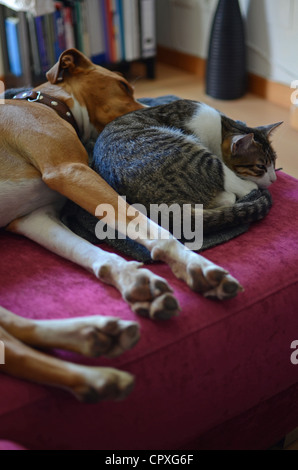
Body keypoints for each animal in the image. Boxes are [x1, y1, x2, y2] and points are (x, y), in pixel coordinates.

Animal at [0, 49, 241, 402]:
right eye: (124, 85)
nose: (155, 116)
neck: (46, 103)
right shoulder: (70, 171)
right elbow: (155, 231)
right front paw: (197, 266)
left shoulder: (34, 216)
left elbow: (94, 255)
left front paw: (135, 280)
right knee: (14, 349)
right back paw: (100, 374)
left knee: (17, 339)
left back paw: (95, 340)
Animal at [92, 100, 280, 239]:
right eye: (261, 166)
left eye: (274, 161)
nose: (274, 179)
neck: (222, 127)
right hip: (195, 155)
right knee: (232, 186)